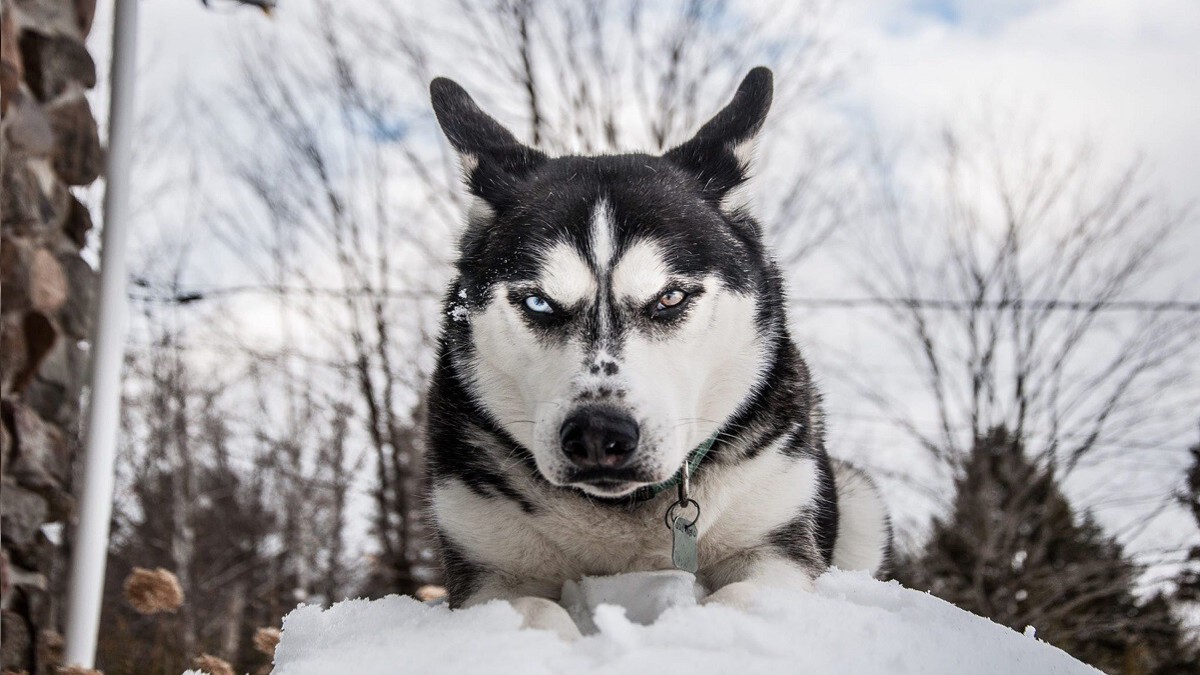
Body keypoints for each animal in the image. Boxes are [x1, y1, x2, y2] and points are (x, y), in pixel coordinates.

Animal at [427, 66, 888, 634]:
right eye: (538, 302)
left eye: (669, 298)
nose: (598, 434)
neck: (621, 514)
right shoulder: (489, 568)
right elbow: (529, 610)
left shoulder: (774, 547)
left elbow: (742, 600)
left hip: (859, 499)